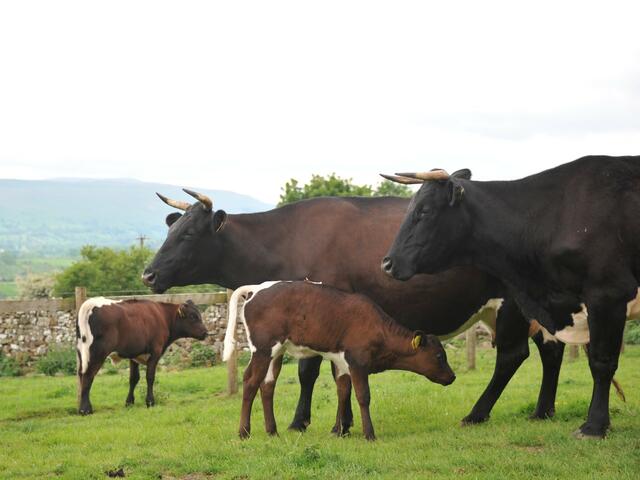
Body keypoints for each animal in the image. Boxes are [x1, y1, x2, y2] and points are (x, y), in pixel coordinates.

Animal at [76, 296, 208, 412]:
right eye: (192, 316)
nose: (206, 332)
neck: (162, 316)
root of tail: (90, 303)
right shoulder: (155, 352)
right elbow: (150, 377)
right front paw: (150, 402)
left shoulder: (134, 355)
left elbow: (134, 378)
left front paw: (129, 402)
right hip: (97, 353)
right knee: (88, 376)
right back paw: (85, 409)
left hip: (82, 353)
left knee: (81, 375)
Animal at [224, 280, 456, 440]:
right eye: (439, 355)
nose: (452, 377)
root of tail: (256, 288)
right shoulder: (358, 361)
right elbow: (363, 396)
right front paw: (369, 434)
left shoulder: (342, 362)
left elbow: (343, 392)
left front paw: (338, 431)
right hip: (263, 348)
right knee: (250, 381)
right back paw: (244, 432)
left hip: (276, 351)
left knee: (267, 385)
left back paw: (272, 431)